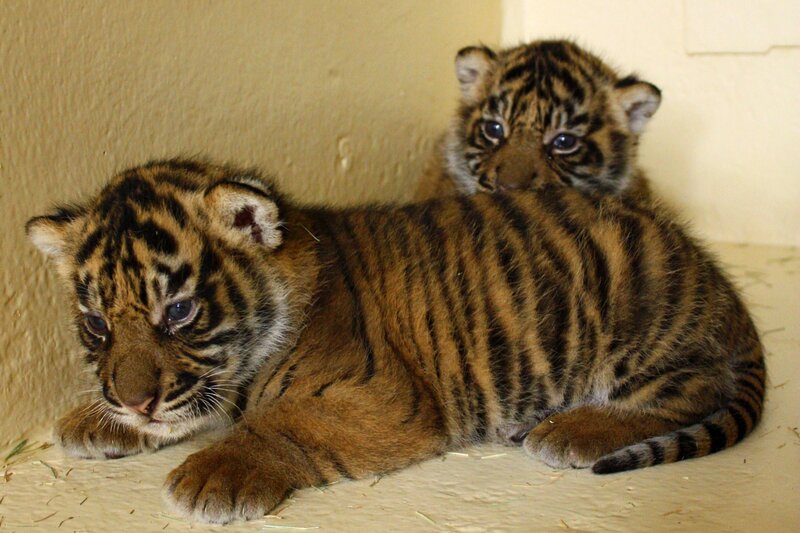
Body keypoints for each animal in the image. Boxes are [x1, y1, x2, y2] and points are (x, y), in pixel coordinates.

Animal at [27, 159, 764, 524]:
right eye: (97, 325)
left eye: (179, 311)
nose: (133, 402)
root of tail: (716, 278)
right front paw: (95, 418)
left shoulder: (385, 399)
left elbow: (284, 422)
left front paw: (214, 472)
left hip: (635, 305)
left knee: (694, 388)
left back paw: (573, 430)